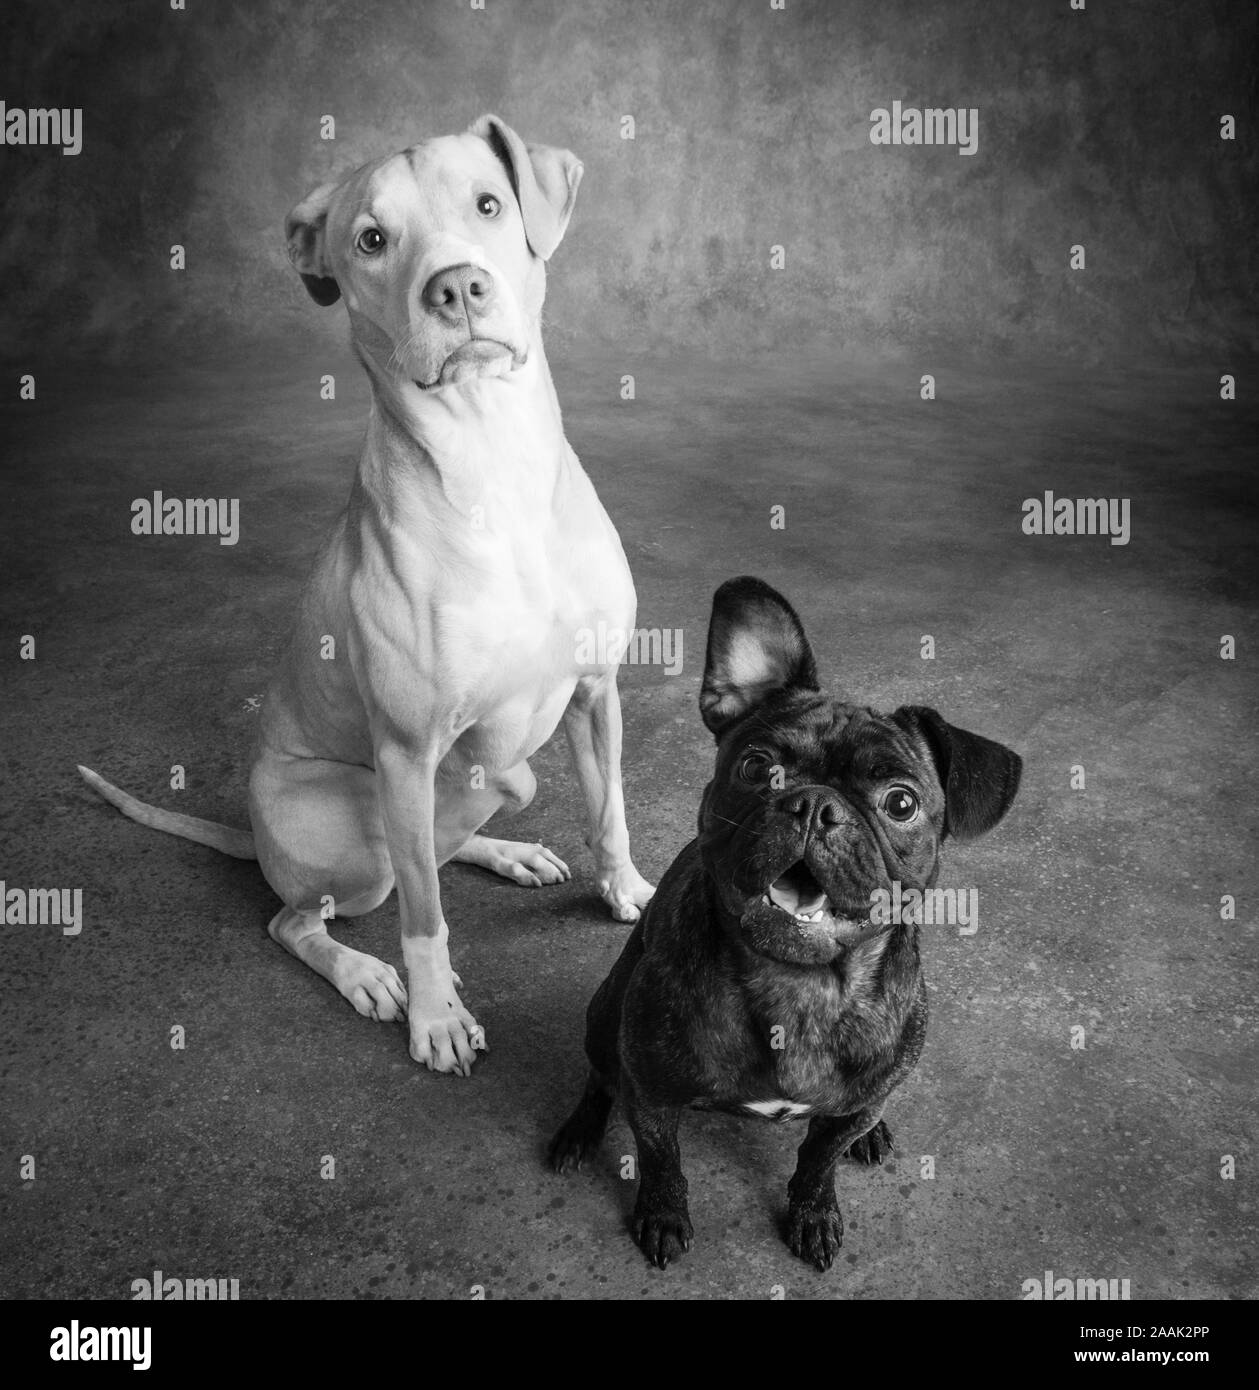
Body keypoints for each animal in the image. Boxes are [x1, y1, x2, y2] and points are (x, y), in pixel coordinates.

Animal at [550, 575, 1022, 1273]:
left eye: (901, 803)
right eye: (754, 766)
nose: (815, 805)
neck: (799, 983)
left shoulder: (846, 1108)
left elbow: (818, 1158)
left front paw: (814, 1213)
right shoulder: (654, 1095)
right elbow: (661, 1159)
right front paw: (662, 1216)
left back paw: (873, 1132)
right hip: (607, 1013)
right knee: (600, 1078)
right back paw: (578, 1132)